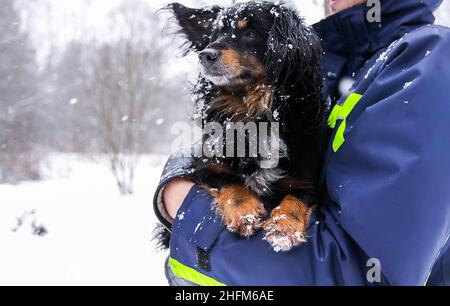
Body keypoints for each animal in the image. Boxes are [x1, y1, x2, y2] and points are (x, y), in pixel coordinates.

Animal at [163, 1, 326, 252]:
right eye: (217, 33)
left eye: (250, 33)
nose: (205, 54)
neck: (253, 109)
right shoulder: (205, 167)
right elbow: (231, 182)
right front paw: (245, 212)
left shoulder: (307, 177)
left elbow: (297, 197)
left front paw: (283, 226)